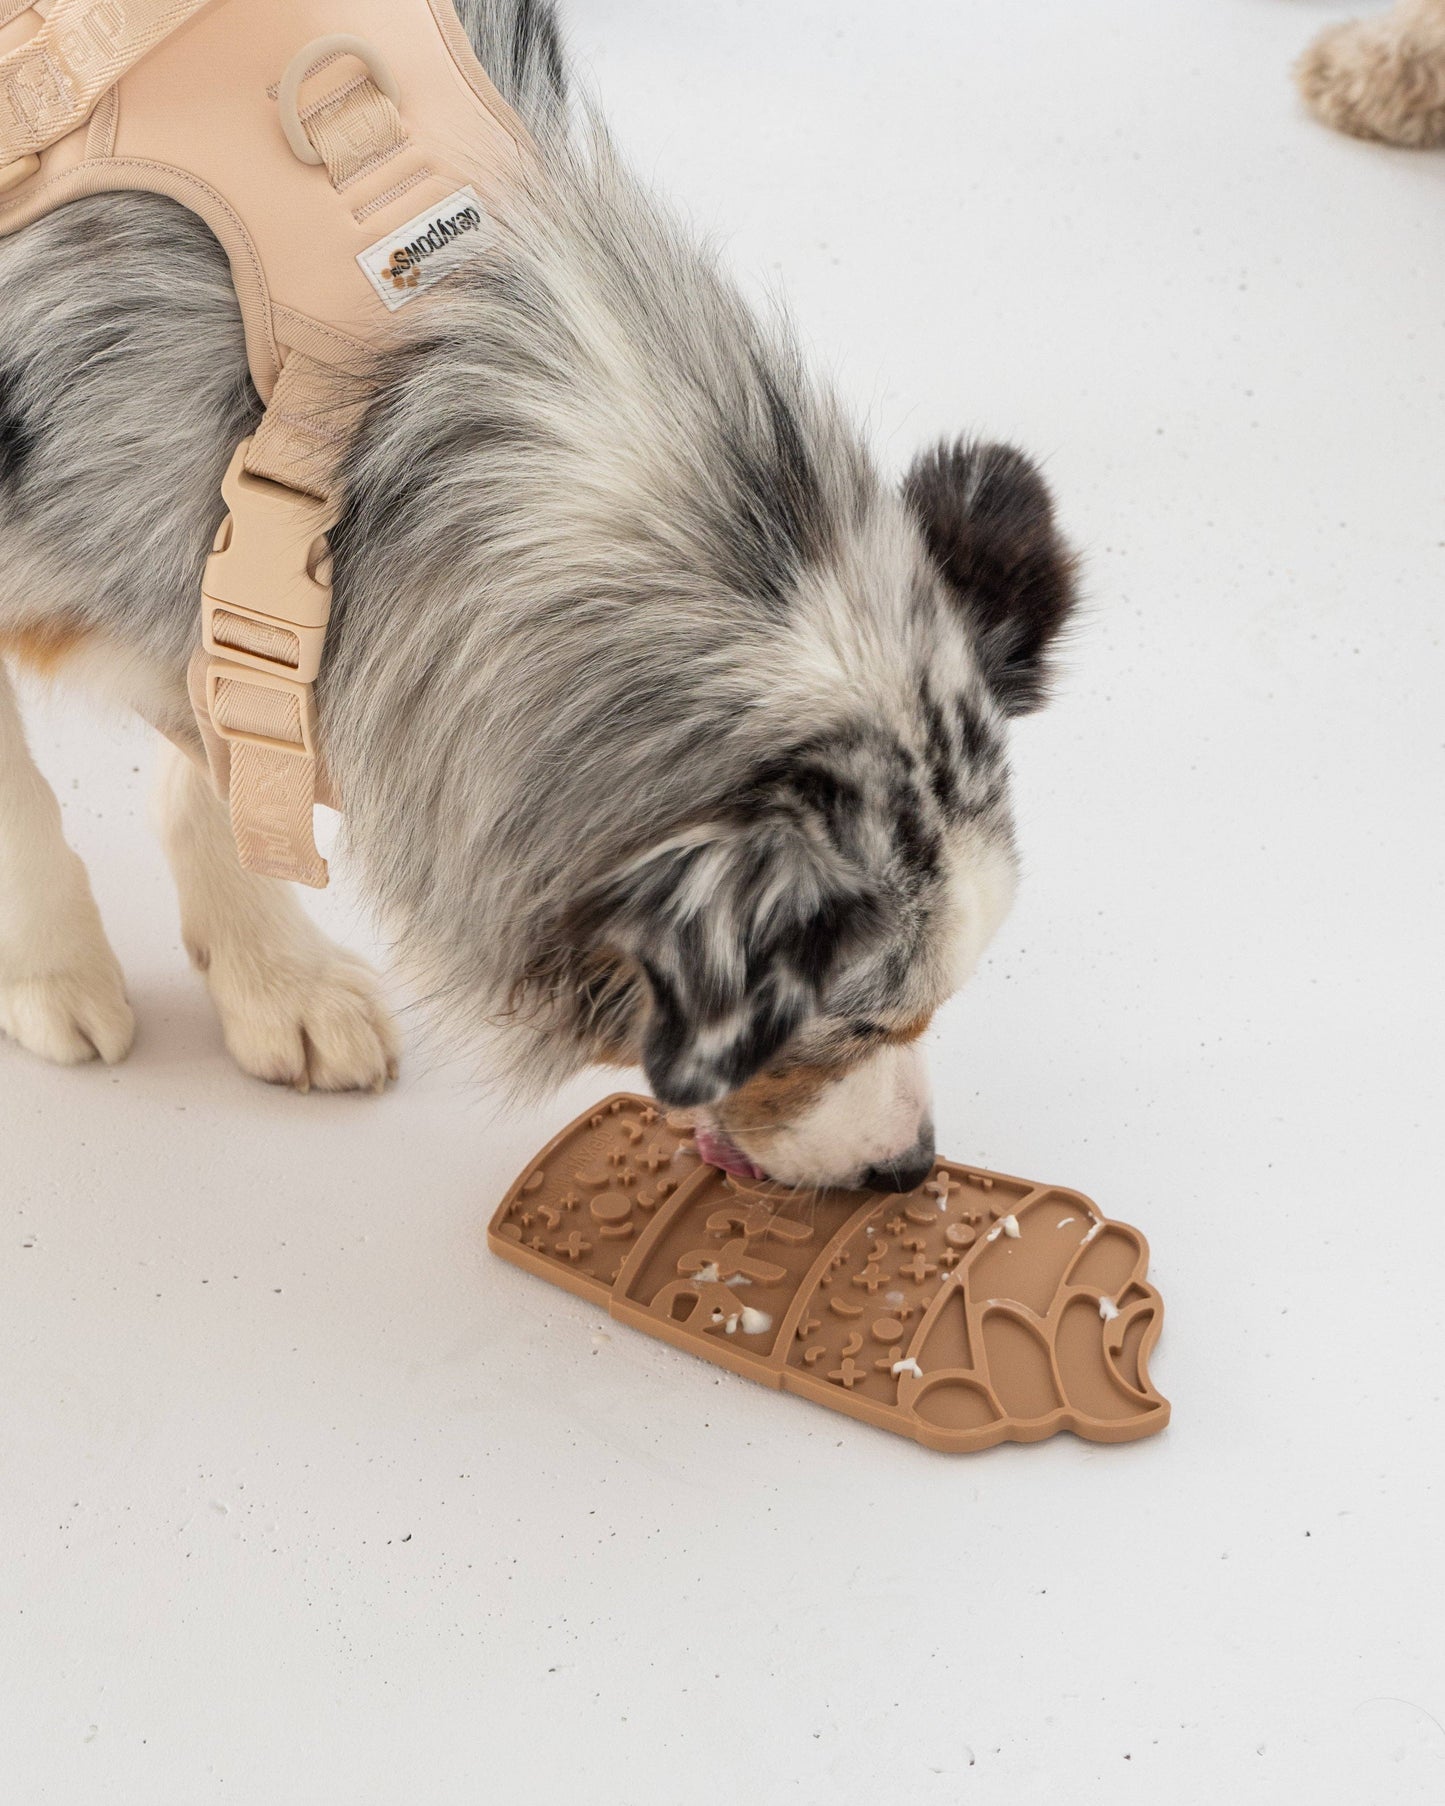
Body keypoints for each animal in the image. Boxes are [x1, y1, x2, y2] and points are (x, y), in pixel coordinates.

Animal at [0, 0, 1069, 1191]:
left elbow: (223, 760)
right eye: (853, 1022)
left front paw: (277, 983)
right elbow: (22, 799)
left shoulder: (229, 577)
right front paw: (51, 971)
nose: (910, 1170)